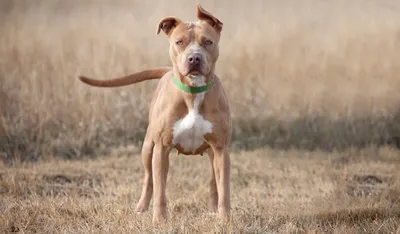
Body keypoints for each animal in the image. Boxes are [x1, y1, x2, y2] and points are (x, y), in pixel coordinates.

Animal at [78, 4, 231, 223]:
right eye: (179, 42)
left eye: (208, 42)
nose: (194, 58)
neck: (193, 91)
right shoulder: (161, 148)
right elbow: (159, 189)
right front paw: (159, 221)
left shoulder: (220, 148)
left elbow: (224, 188)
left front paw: (225, 219)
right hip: (148, 148)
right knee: (148, 179)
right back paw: (141, 208)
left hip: (212, 154)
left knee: (213, 181)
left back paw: (212, 209)